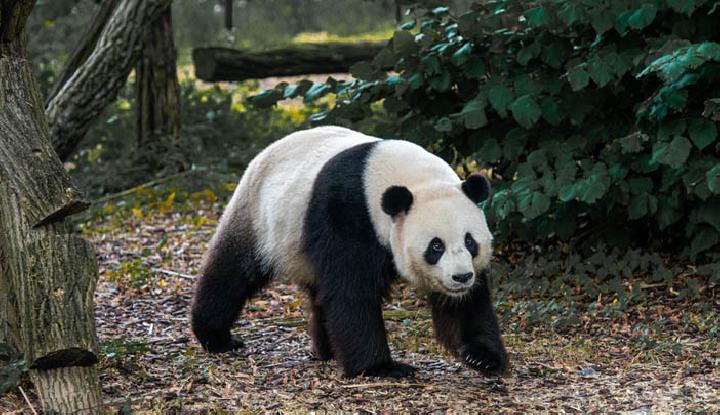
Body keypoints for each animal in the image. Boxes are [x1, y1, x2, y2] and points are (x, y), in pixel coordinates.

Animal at [191, 126, 508, 378]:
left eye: (470, 242)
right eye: (436, 246)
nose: (461, 277)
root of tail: (264, 153)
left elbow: (465, 305)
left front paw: (482, 356)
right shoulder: (347, 211)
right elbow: (351, 290)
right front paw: (382, 367)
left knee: (318, 292)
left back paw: (327, 350)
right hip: (259, 218)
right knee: (232, 272)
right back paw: (216, 337)